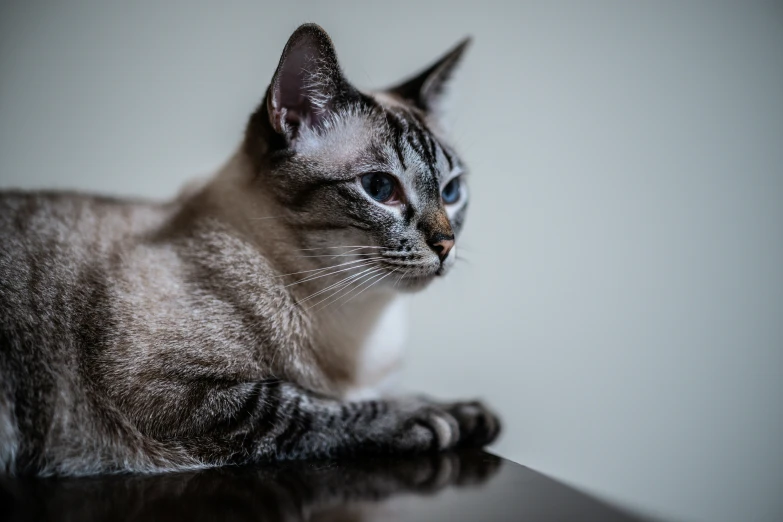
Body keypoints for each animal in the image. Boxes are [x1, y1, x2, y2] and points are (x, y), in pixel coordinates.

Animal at [0, 22, 502, 474]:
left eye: (452, 192)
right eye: (380, 188)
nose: (445, 245)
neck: (357, 324)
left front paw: (465, 412)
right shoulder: (169, 392)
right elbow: (299, 404)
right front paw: (422, 418)